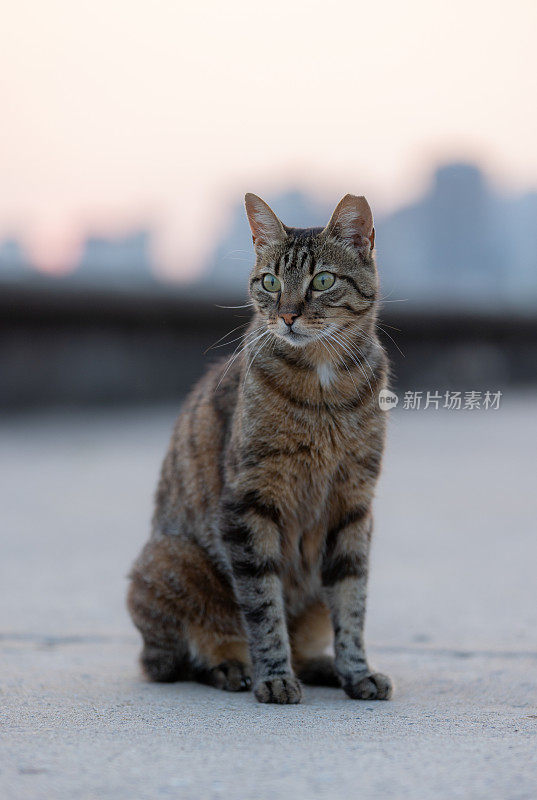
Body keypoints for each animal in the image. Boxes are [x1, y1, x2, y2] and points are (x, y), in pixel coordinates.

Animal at [127, 194, 392, 708]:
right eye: (270, 282)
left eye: (322, 281)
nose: (287, 315)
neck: (324, 384)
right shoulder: (249, 501)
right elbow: (263, 605)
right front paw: (273, 676)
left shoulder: (353, 506)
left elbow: (352, 602)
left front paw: (356, 671)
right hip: (171, 559)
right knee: (176, 659)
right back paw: (232, 667)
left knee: (306, 635)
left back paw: (322, 667)